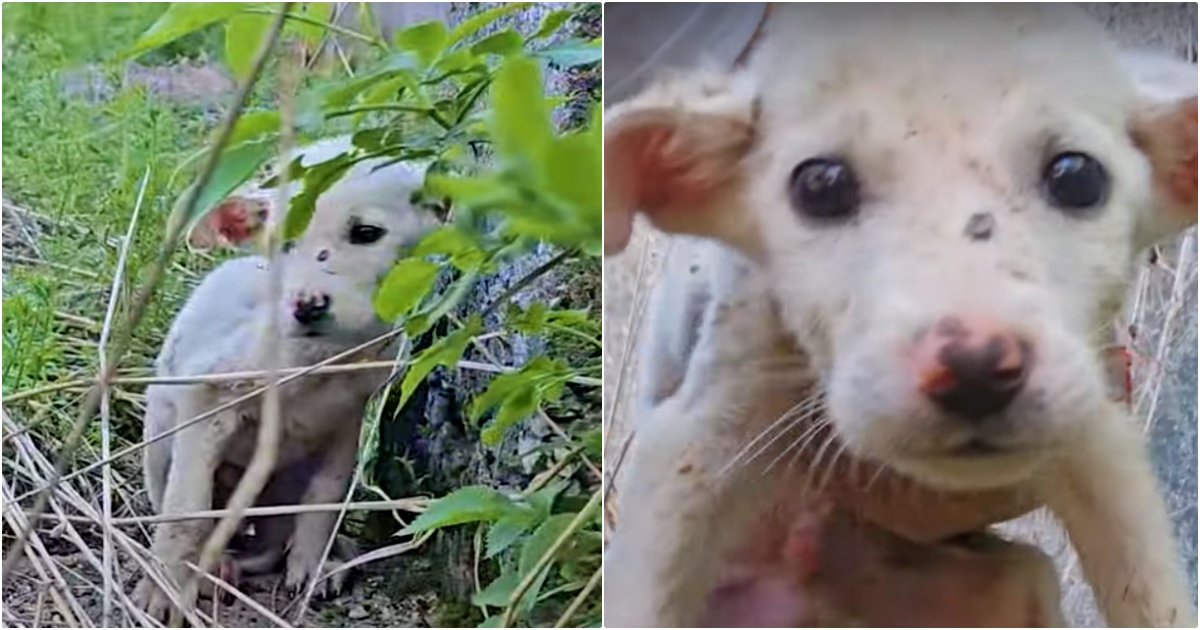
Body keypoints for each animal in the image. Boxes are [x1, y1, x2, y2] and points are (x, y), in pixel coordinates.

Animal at [135, 137, 441, 619]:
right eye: (283, 241)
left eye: (366, 233)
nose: (307, 304)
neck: (322, 357)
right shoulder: (206, 397)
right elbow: (186, 511)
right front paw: (162, 591)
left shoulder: (346, 418)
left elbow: (326, 496)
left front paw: (313, 565)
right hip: (164, 438)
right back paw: (214, 567)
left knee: (268, 545)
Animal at [604, 3, 1195, 624]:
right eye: (820, 184)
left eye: (1077, 175)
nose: (977, 370)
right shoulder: (698, 433)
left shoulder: (1098, 436)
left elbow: (1155, 596)